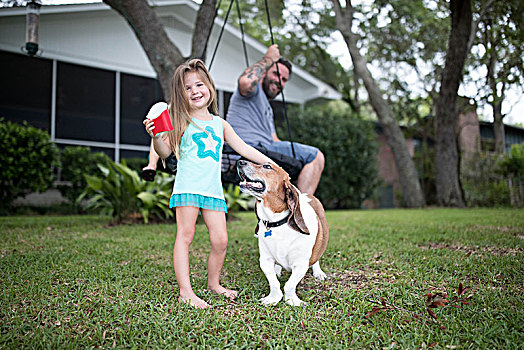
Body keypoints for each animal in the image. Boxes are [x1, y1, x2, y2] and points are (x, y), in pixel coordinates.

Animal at [236, 160, 328, 304]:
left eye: (267, 166)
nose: (240, 161)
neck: (277, 222)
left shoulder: (300, 264)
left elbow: (289, 285)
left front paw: (292, 300)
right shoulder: (265, 260)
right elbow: (274, 282)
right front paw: (273, 298)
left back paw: (318, 272)